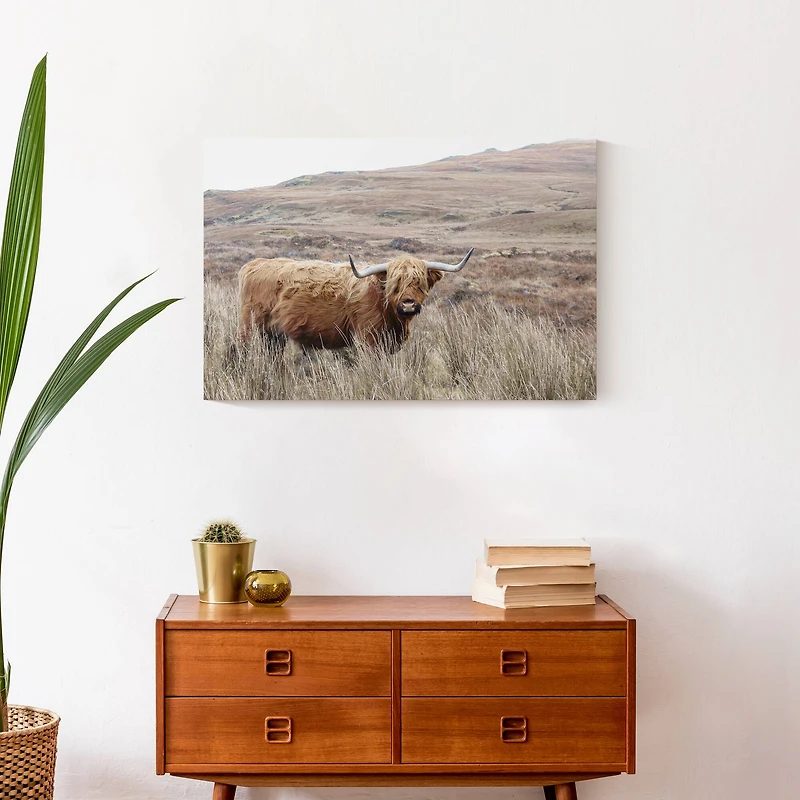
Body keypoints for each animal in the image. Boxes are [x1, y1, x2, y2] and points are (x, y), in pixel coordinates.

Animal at [237, 249, 473, 350]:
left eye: (419, 283)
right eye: (395, 284)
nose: (408, 303)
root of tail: (254, 264)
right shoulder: (368, 338)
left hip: (273, 335)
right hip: (250, 327)